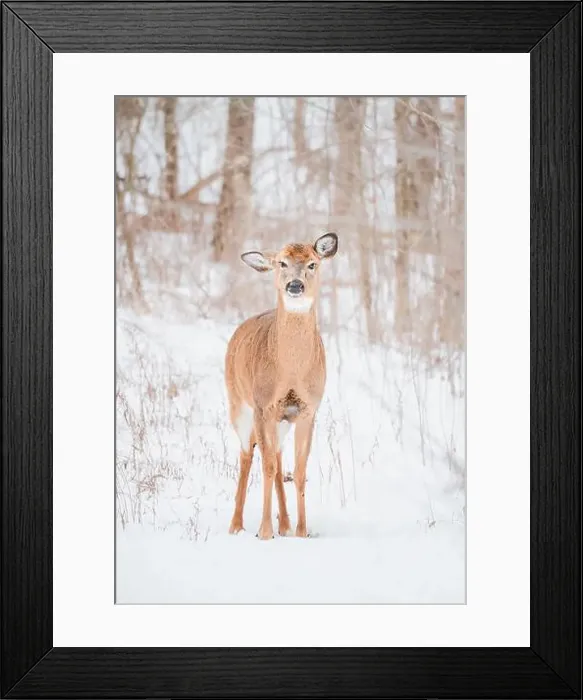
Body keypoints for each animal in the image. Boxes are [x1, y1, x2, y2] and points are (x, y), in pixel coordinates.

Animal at [224, 232, 339, 540]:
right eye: (282, 263)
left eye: (312, 263)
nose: (295, 285)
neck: (291, 371)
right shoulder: (263, 405)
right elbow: (266, 465)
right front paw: (264, 532)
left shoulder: (308, 409)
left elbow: (298, 470)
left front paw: (301, 531)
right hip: (238, 404)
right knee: (246, 456)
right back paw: (236, 525)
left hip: (282, 420)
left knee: (276, 457)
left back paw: (285, 524)